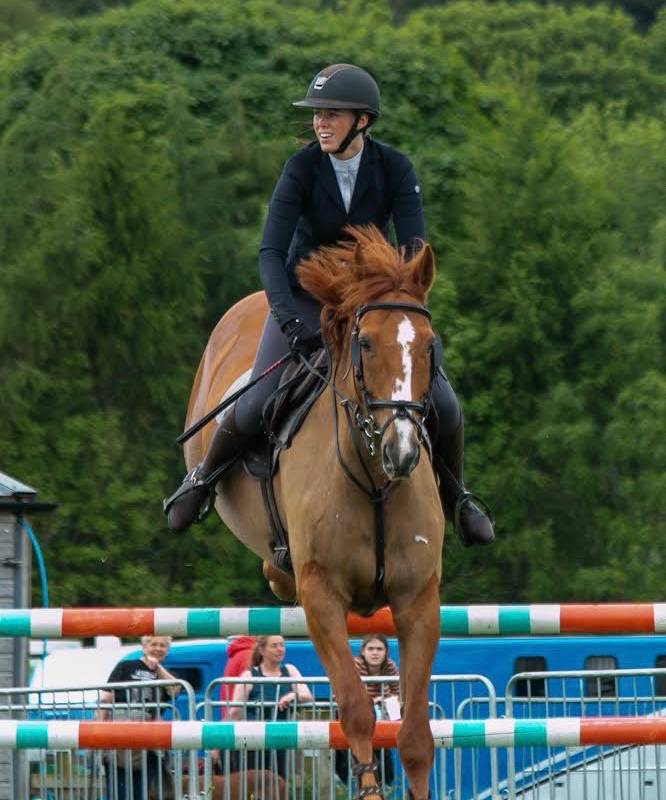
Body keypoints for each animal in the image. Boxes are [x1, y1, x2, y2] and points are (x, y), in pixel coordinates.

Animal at [182, 225, 444, 800]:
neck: (374, 481)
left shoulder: (418, 599)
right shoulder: (321, 594)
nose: (402, 451)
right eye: (365, 343)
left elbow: (414, 730)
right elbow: (356, 707)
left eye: (429, 345)